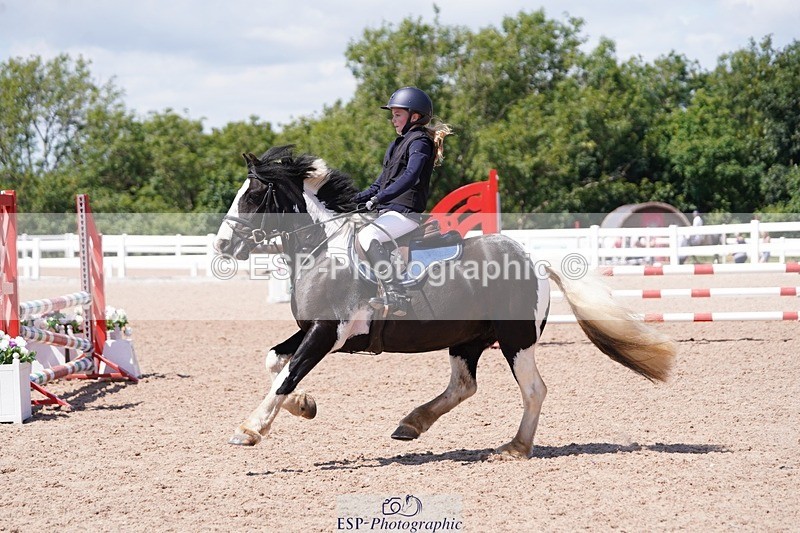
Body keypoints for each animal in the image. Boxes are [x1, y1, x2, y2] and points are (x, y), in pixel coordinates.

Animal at [214, 145, 677, 460]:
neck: (324, 250)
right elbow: (276, 363)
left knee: (533, 389)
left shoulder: (328, 332)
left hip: (515, 340)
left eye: (252, 197)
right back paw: (411, 424)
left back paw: (515, 447)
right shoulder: (314, 331)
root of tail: (535, 261)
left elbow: (287, 373)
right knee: (463, 385)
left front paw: (250, 429)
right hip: (467, 339)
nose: (221, 245)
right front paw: (305, 405)